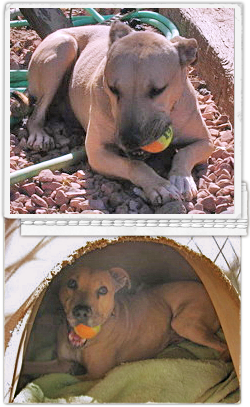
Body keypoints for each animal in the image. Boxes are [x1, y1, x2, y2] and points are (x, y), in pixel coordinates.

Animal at [22, 266, 229, 380]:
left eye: (103, 290)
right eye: (71, 283)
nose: (81, 311)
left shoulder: (95, 375)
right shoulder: (61, 363)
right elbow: (36, 366)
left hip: (183, 323)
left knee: (222, 344)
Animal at [24, 21, 213, 204]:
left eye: (158, 90)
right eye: (113, 88)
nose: (129, 141)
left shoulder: (206, 142)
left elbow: (184, 153)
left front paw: (181, 178)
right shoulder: (97, 153)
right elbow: (134, 165)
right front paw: (159, 185)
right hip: (63, 49)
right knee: (35, 114)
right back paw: (39, 134)